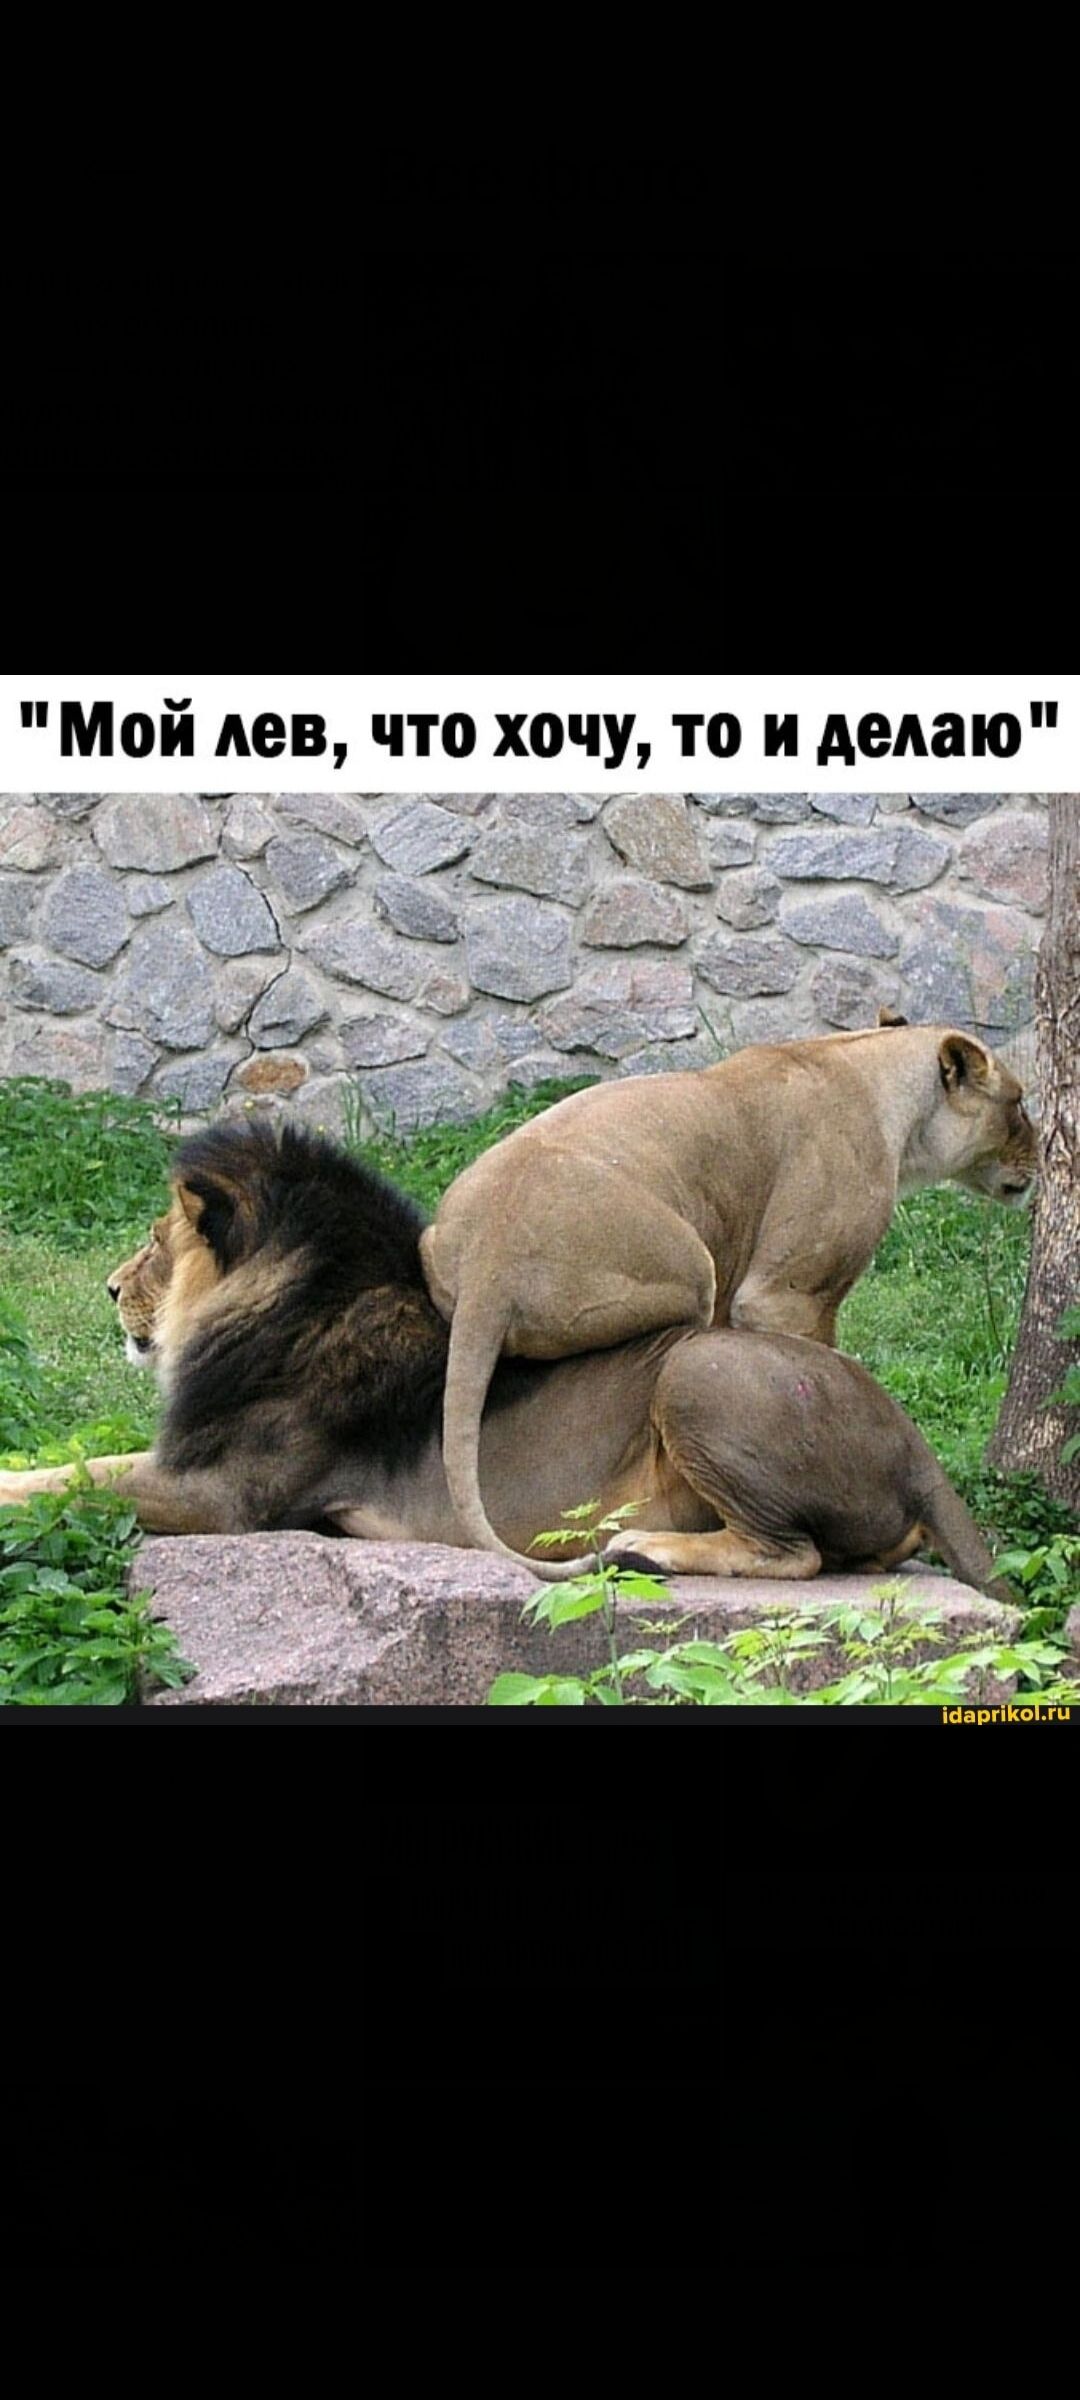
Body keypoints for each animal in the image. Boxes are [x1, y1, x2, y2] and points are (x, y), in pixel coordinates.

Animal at [0, 1117, 1012, 1602]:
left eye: (152, 1240)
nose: (106, 1289)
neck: (304, 1298)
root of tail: (914, 1443)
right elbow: (70, 1468)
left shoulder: (221, 1496)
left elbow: (76, 1482)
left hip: (698, 1370)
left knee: (795, 1555)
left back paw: (644, 1550)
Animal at [418, 1016, 1037, 1575]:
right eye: (1020, 1103)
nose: (1039, 1157)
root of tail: (488, 1261)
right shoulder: (785, 1292)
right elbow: (821, 1358)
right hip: (693, 1270)